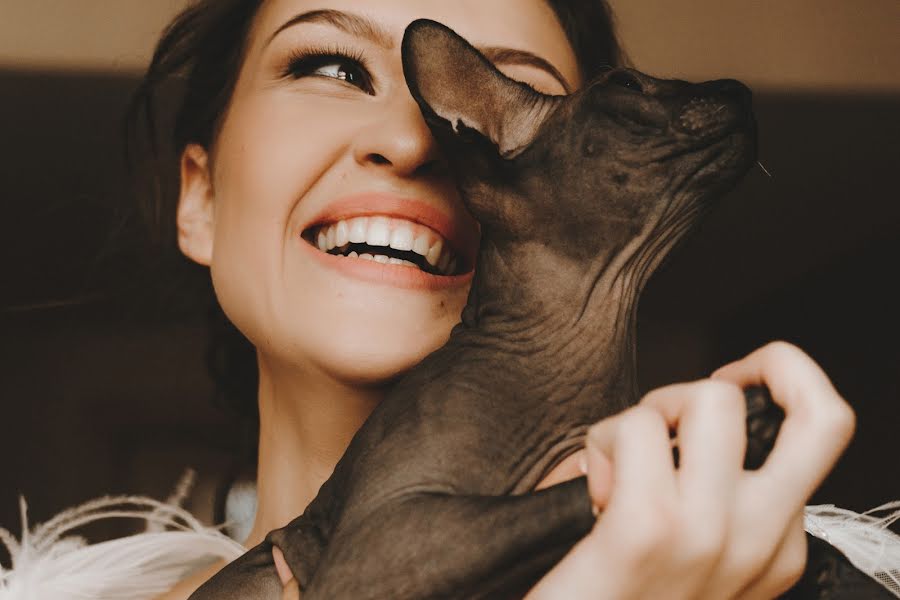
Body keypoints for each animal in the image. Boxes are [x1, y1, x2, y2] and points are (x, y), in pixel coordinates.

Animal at [192, 19, 892, 600]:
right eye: (627, 86)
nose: (739, 89)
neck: (589, 346)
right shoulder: (380, 550)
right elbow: (574, 494)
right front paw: (729, 427)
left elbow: (819, 547)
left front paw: (847, 573)